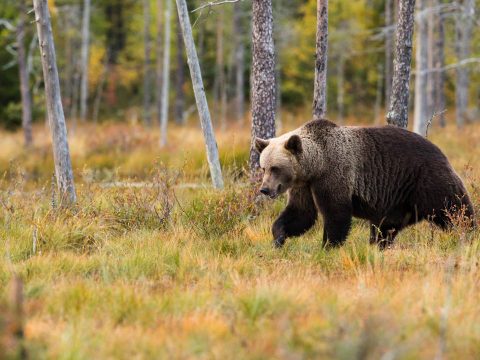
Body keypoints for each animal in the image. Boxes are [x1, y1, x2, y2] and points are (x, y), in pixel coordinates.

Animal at [253, 118, 474, 248]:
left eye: (275, 168)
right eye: (263, 167)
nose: (265, 189)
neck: (316, 165)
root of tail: (441, 151)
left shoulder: (334, 174)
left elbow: (336, 214)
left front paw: (328, 246)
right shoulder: (304, 186)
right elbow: (301, 213)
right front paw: (278, 237)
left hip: (426, 180)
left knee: (454, 209)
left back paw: (469, 233)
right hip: (397, 201)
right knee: (385, 227)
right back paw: (378, 245)